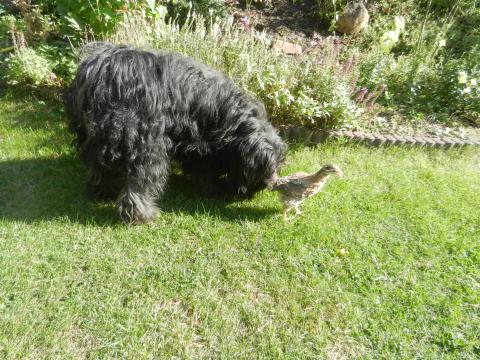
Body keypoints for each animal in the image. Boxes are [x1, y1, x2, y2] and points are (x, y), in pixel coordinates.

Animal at [65, 43, 286, 224]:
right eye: (264, 172)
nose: (258, 190)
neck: (231, 119)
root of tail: (104, 71)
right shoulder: (198, 142)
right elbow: (203, 168)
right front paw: (212, 187)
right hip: (145, 140)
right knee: (140, 179)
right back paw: (141, 214)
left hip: (94, 135)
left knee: (97, 165)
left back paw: (103, 191)